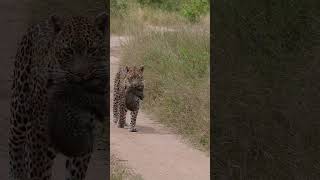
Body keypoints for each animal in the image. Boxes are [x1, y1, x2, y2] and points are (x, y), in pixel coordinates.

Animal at [8, 11, 109, 179]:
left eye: (91, 50)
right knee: (15, 147)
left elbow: (75, 173)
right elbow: (38, 172)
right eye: (68, 51)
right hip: (19, 109)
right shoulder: (40, 139)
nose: (81, 74)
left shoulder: (83, 137)